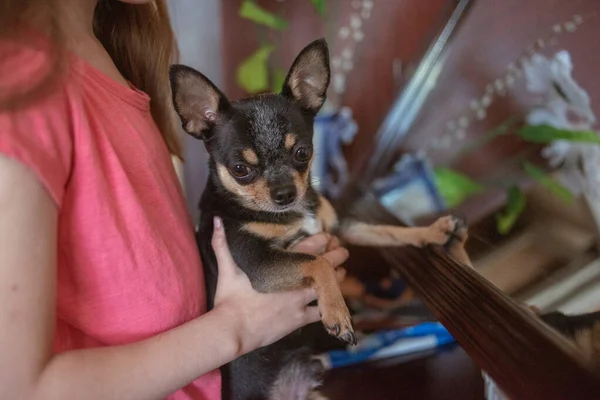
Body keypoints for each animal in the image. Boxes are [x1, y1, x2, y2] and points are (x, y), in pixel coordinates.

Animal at [171, 39, 472, 400]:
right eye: (240, 169)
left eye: (302, 152)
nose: (285, 193)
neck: (291, 213)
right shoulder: (260, 264)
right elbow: (318, 261)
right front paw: (337, 312)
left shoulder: (339, 227)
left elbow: (386, 231)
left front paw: (431, 232)